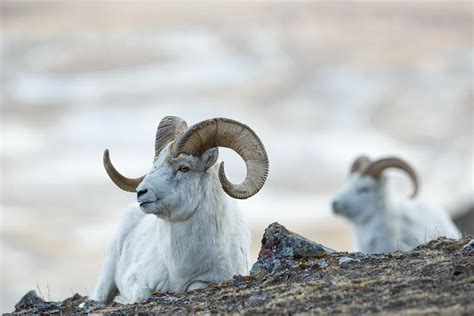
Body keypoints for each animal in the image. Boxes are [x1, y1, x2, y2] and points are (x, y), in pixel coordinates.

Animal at [89, 116, 266, 304]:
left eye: (184, 168)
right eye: (155, 164)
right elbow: (142, 293)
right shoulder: (135, 280)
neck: (178, 270)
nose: (141, 192)